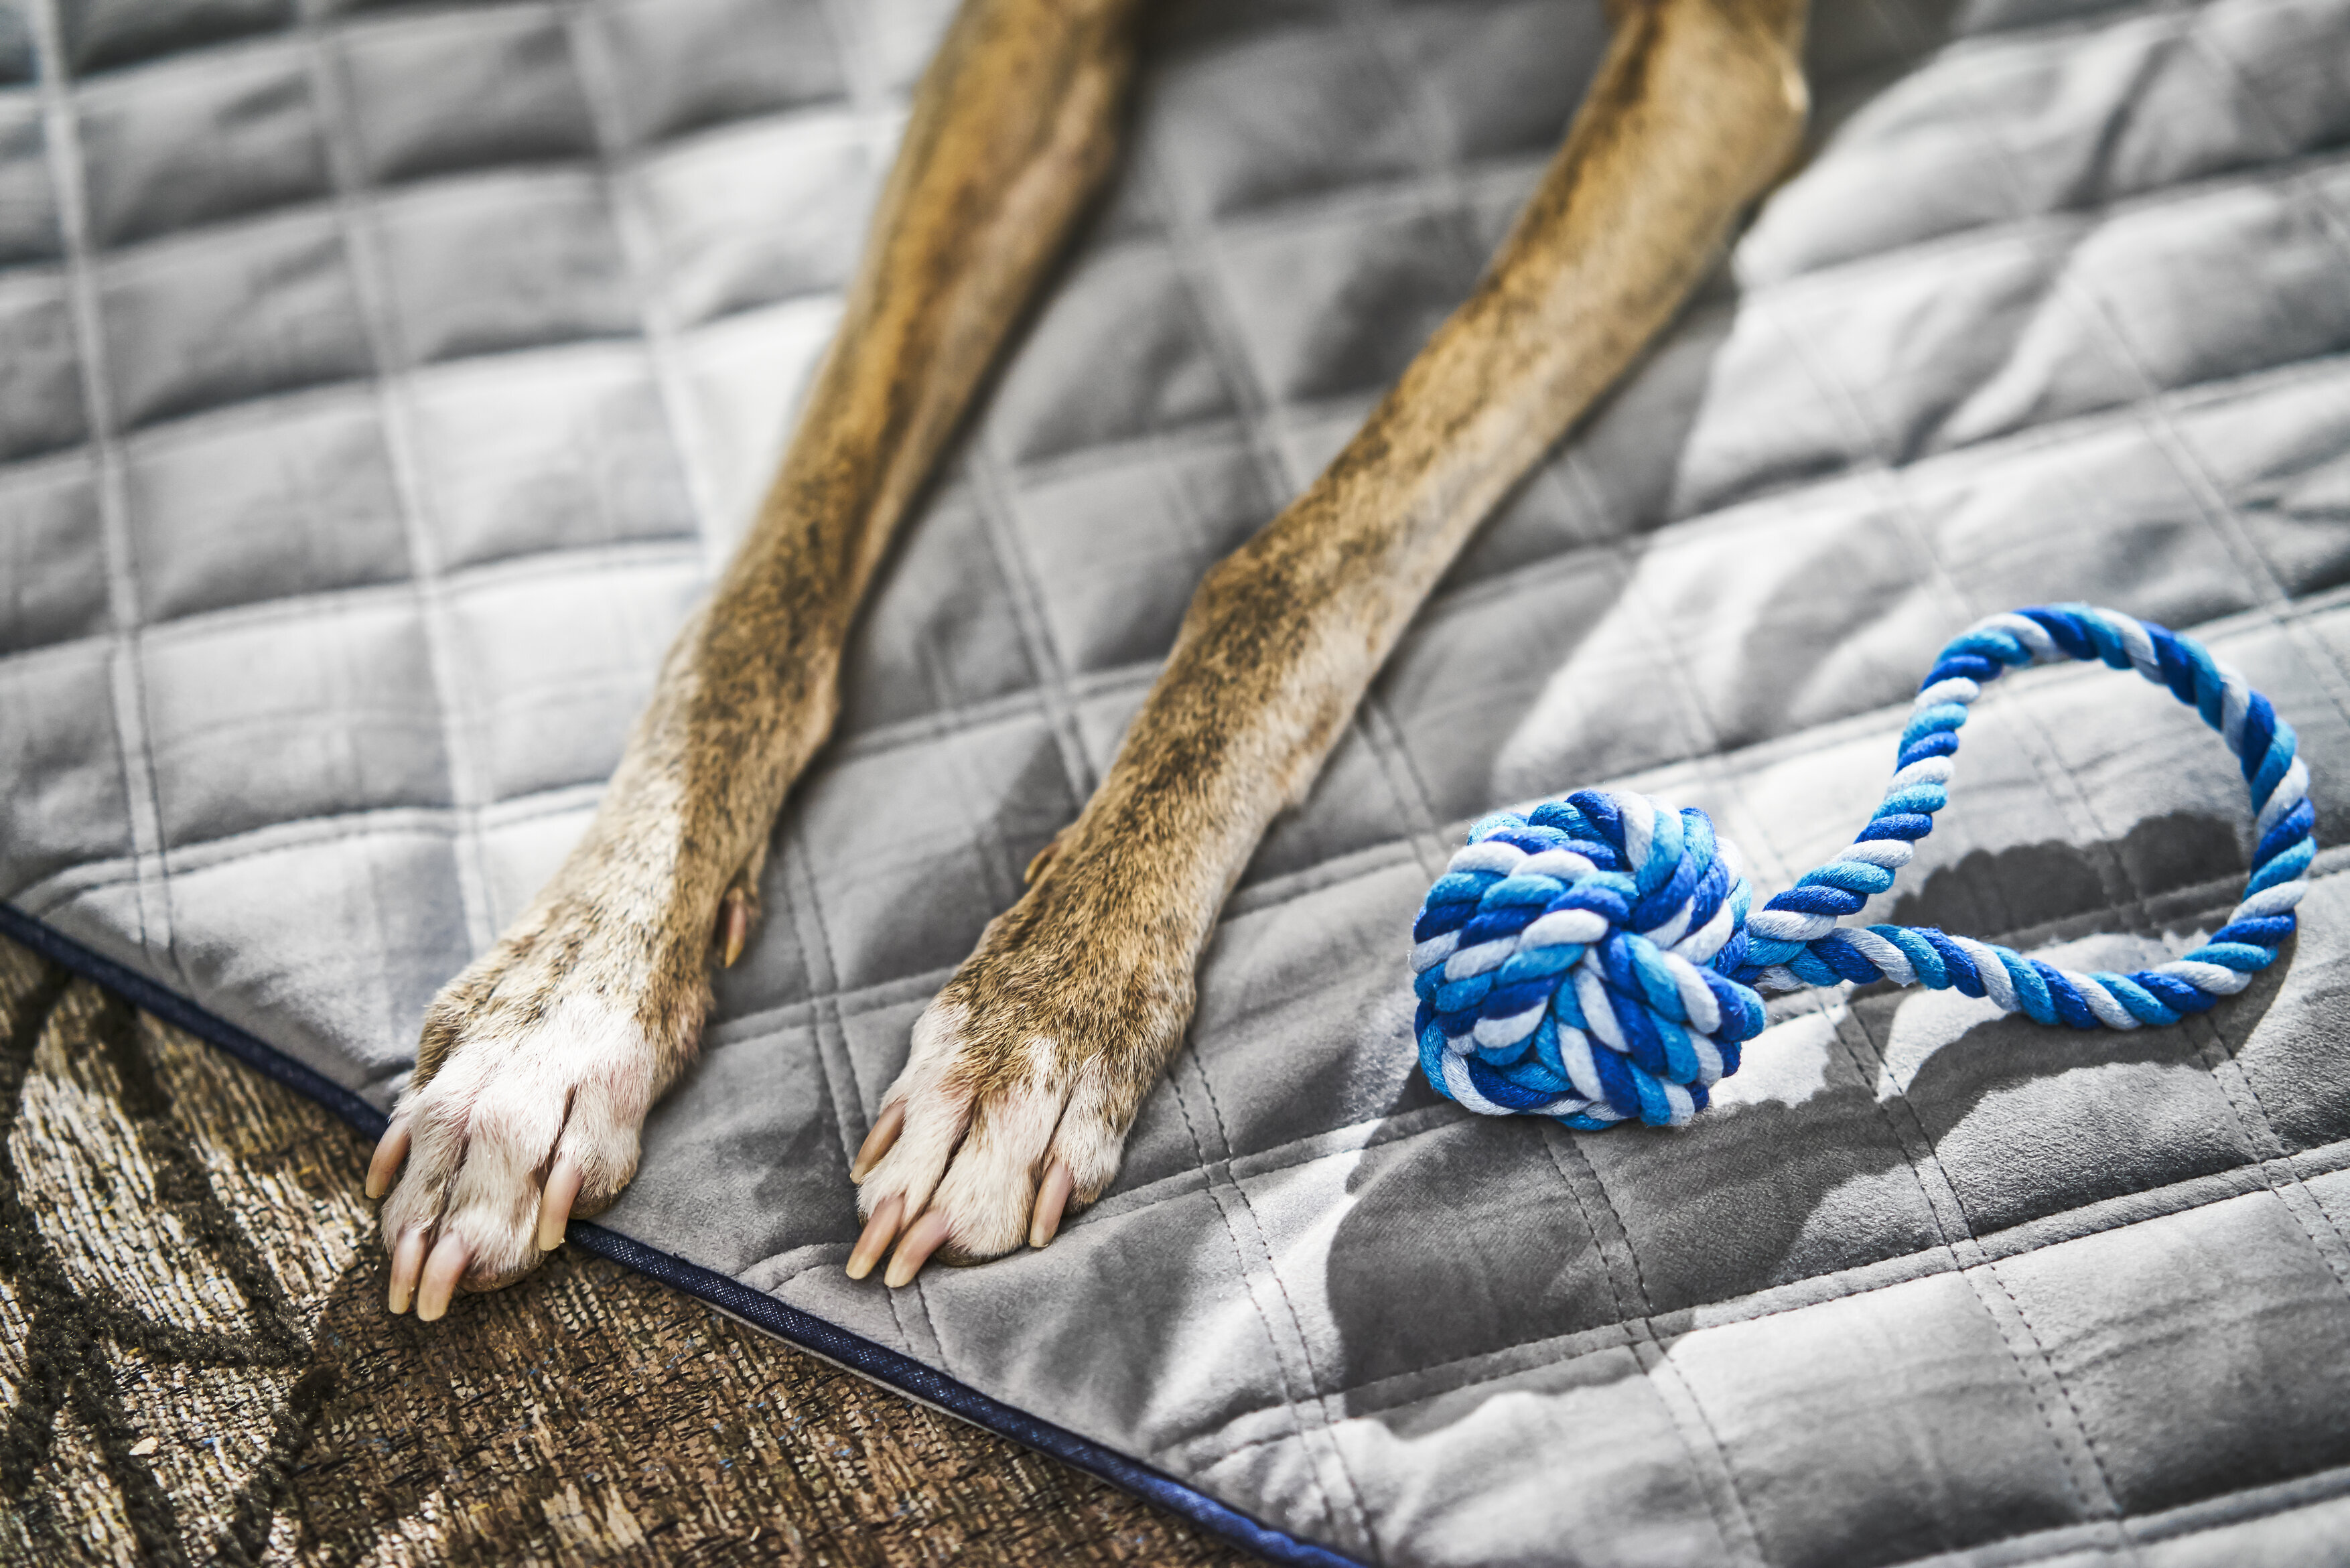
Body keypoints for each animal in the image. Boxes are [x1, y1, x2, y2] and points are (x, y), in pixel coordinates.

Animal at [365, 0, 1812, 1320]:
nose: (1046, 1020)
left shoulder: (1711, 64)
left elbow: (1297, 565)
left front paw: (1041, 1023)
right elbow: (767, 586)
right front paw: (560, 1006)